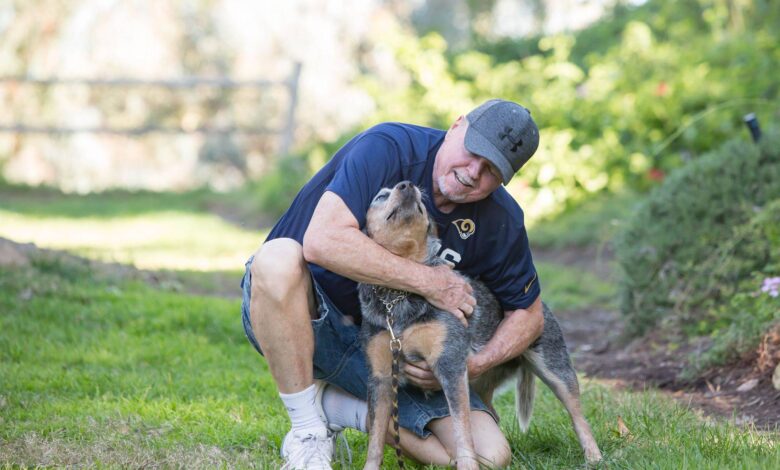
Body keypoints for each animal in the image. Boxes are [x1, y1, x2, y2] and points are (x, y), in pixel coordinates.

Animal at [356, 181, 600, 470]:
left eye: (422, 203)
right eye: (381, 196)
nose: (408, 185)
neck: (399, 295)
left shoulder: (450, 366)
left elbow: (463, 433)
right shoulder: (381, 379)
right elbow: (375, 440)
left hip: (555, 368)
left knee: (578, 415)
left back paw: (594, 456)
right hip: (482, 384)